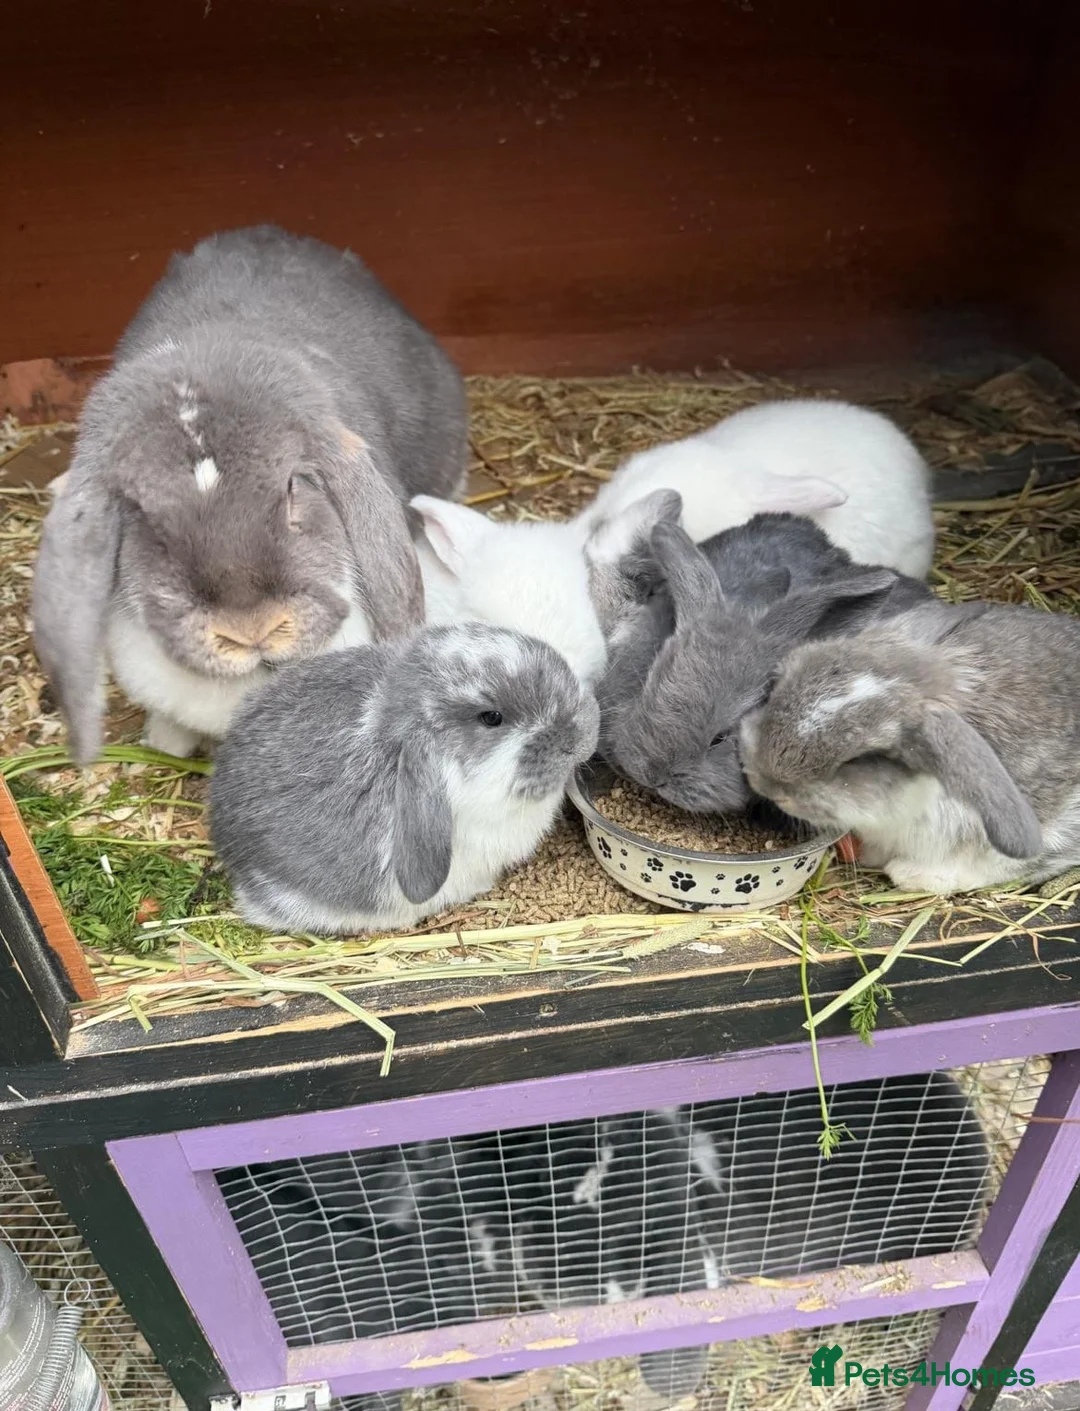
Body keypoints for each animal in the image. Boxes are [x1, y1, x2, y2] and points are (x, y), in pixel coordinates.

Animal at [738, 597, 1080, 893]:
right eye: (775, 685)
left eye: (862, 758)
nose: (765, 784)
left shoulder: (1055, 826)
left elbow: (999, 863)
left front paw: (912, 875)